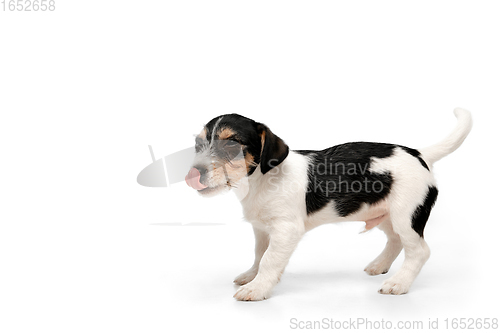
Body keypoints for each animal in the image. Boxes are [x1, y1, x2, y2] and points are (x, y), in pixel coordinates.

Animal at [185, 107, 472, 300]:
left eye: (232, 144)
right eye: (199, 144)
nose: (192, 174)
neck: (261, 179)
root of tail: (419, 154)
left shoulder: (285, 230)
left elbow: (269, 259)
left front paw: (257, 287)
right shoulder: (262, 229)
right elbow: (259, 254)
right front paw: (252, 275)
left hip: (407, 214)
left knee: (419, 251)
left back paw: (399, 283)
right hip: (386, 214)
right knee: (396, 240)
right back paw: (380, 265)